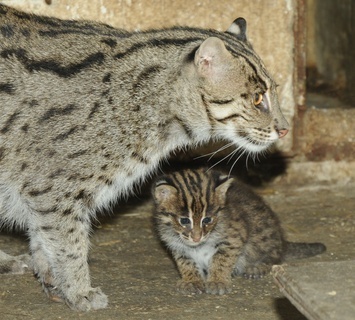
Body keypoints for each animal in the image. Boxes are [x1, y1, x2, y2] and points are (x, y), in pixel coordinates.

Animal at [0, 3, 290, 312]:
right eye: (258, 99)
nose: (285, 129)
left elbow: (42, 236)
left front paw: (51, 278)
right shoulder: (52, 187)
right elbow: (68, 242)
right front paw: (79, 290)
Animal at [152, 168, 326, 296]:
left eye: (207, 219)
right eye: (184, 221)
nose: (196, 237)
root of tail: (282, 242)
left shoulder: (233, 238)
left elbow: (221, 260)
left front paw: (217, 281)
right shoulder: (177, 245)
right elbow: (186, 263)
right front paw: (191, 280)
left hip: (262, 238)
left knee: (274, 256)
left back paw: (258, 267)